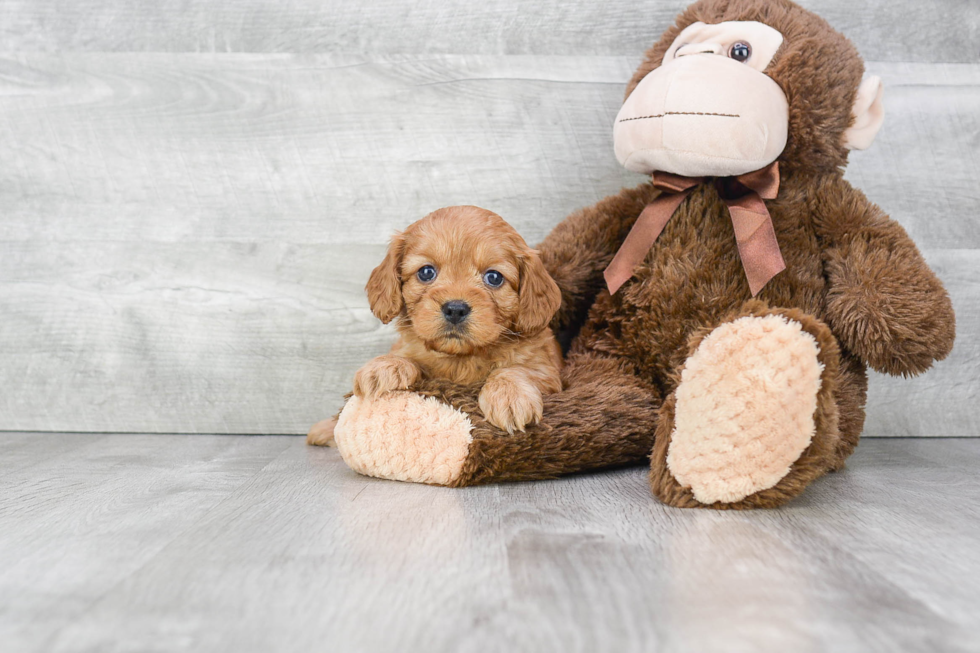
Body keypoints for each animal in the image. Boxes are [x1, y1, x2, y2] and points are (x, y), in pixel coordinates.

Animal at [312, 204, 560, 440]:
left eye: (494, 277)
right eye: (426, 272)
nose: (455, 309)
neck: (460, 359)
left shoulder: (549, 372)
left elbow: (515, 370)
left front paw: (509, 396)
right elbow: (409, 359)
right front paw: (383, 366)